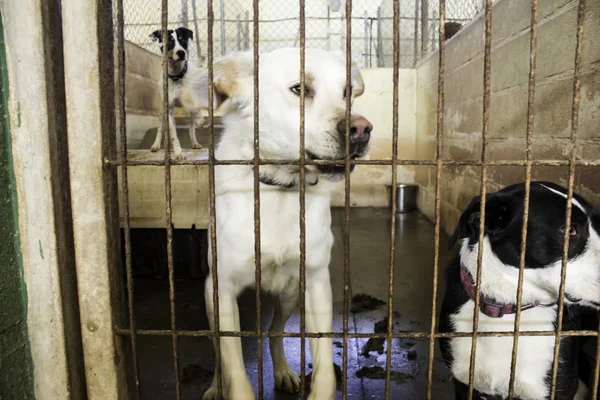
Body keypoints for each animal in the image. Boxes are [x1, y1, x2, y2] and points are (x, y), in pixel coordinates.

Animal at [149, 27, 216, 161]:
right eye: (170, 41)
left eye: (183, 40)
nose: (181, 52)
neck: (177, 76)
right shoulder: (169, 111)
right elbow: (173, 136)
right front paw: (179, 153)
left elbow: (196, 111)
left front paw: (200, 119)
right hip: (161, 111)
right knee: (160, 128)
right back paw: (156, 145)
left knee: (191, 128)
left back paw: (195, 141)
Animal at [204, 47, 372, 400]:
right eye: (299, 89)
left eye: (347, 92)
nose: (362, 129)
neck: (280, 187)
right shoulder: (221, 290)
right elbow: (233, 367)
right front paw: (227, 385)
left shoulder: (317, 283)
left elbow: (324, 368)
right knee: (218, 350)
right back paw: (214, 386)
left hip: (291, 292)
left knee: (274, 332)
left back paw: (282, 371)